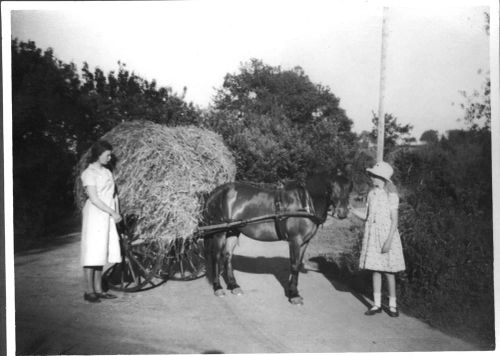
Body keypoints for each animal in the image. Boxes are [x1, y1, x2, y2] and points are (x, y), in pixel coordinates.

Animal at [200, 171, 352, 304]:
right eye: (332, 187)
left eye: (349, 189)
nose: (342, 213)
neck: (305, 204)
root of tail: (216, 192)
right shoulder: (295, 240)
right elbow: (294, 265)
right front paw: (293, 295)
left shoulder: (305, 242)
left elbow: (297, 264)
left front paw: (293, 290)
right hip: (220, 231)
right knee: (216, 256)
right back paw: (218, 287)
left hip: (233, 230)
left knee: (227, 256)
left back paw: (233, 285)